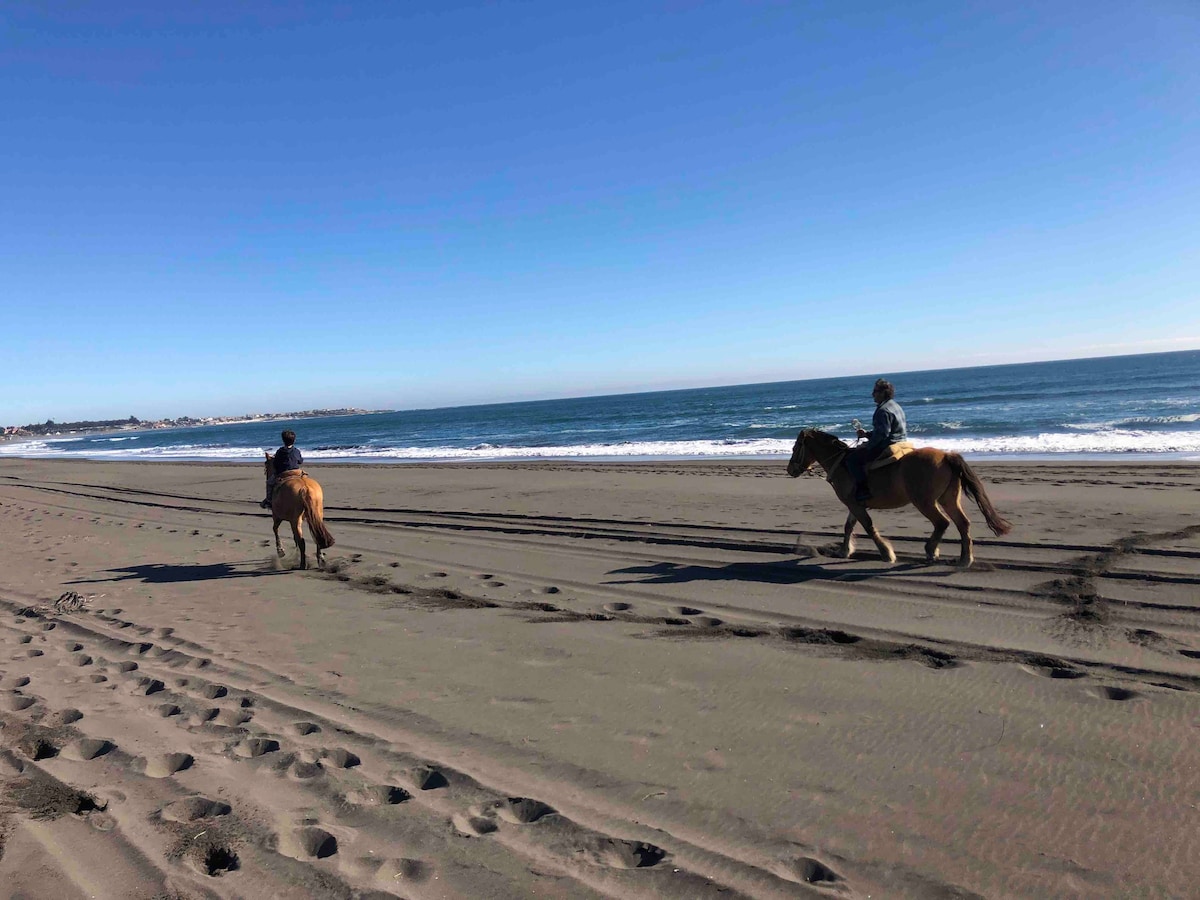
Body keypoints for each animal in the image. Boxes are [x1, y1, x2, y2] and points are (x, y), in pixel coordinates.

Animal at [787, 427, 1012, 566]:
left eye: (795, 447)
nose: (790, 469)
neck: (842, 463)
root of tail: (946, 456)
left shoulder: (855, 505)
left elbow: (868, 527)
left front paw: (886, 553)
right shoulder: (854, 504)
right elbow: (849, 526)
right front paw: (844, 551)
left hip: (925, 502)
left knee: (942, 523)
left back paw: (931, 550)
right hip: (948, 499)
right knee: (962, 523)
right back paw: (965, 559)